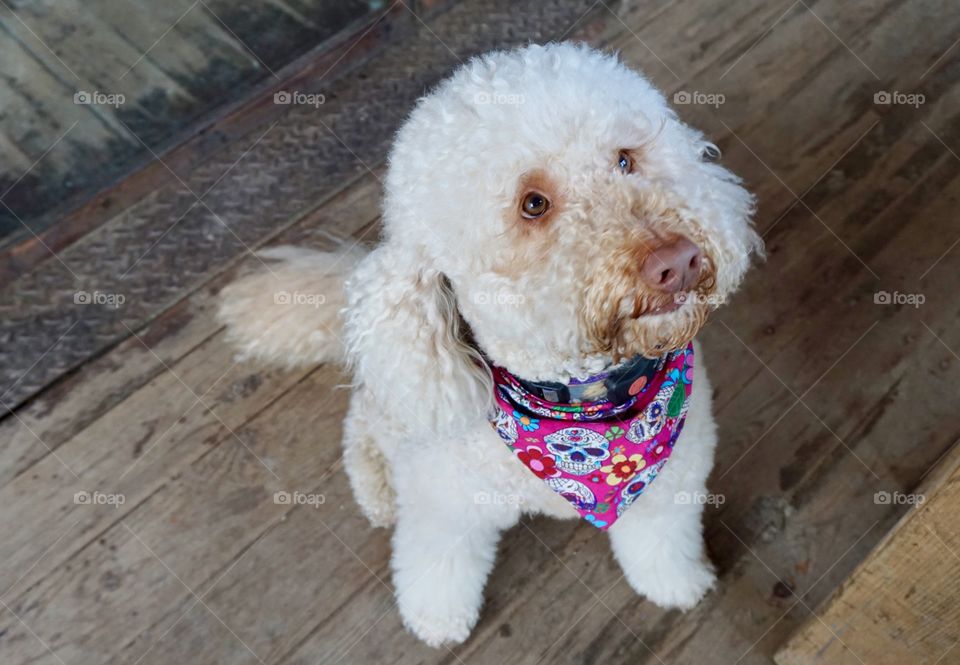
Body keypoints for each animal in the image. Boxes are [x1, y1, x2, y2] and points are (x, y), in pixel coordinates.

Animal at [221, 44, 760, 644]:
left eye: (625, 160)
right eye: (533, 204)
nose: (678, 261)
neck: (579, 400)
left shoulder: (671, 485)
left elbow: (661, 542)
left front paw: (678, 584)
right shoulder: (444, 509)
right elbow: (437, 567)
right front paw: (436, 621)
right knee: (361, 424)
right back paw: (377, 489)